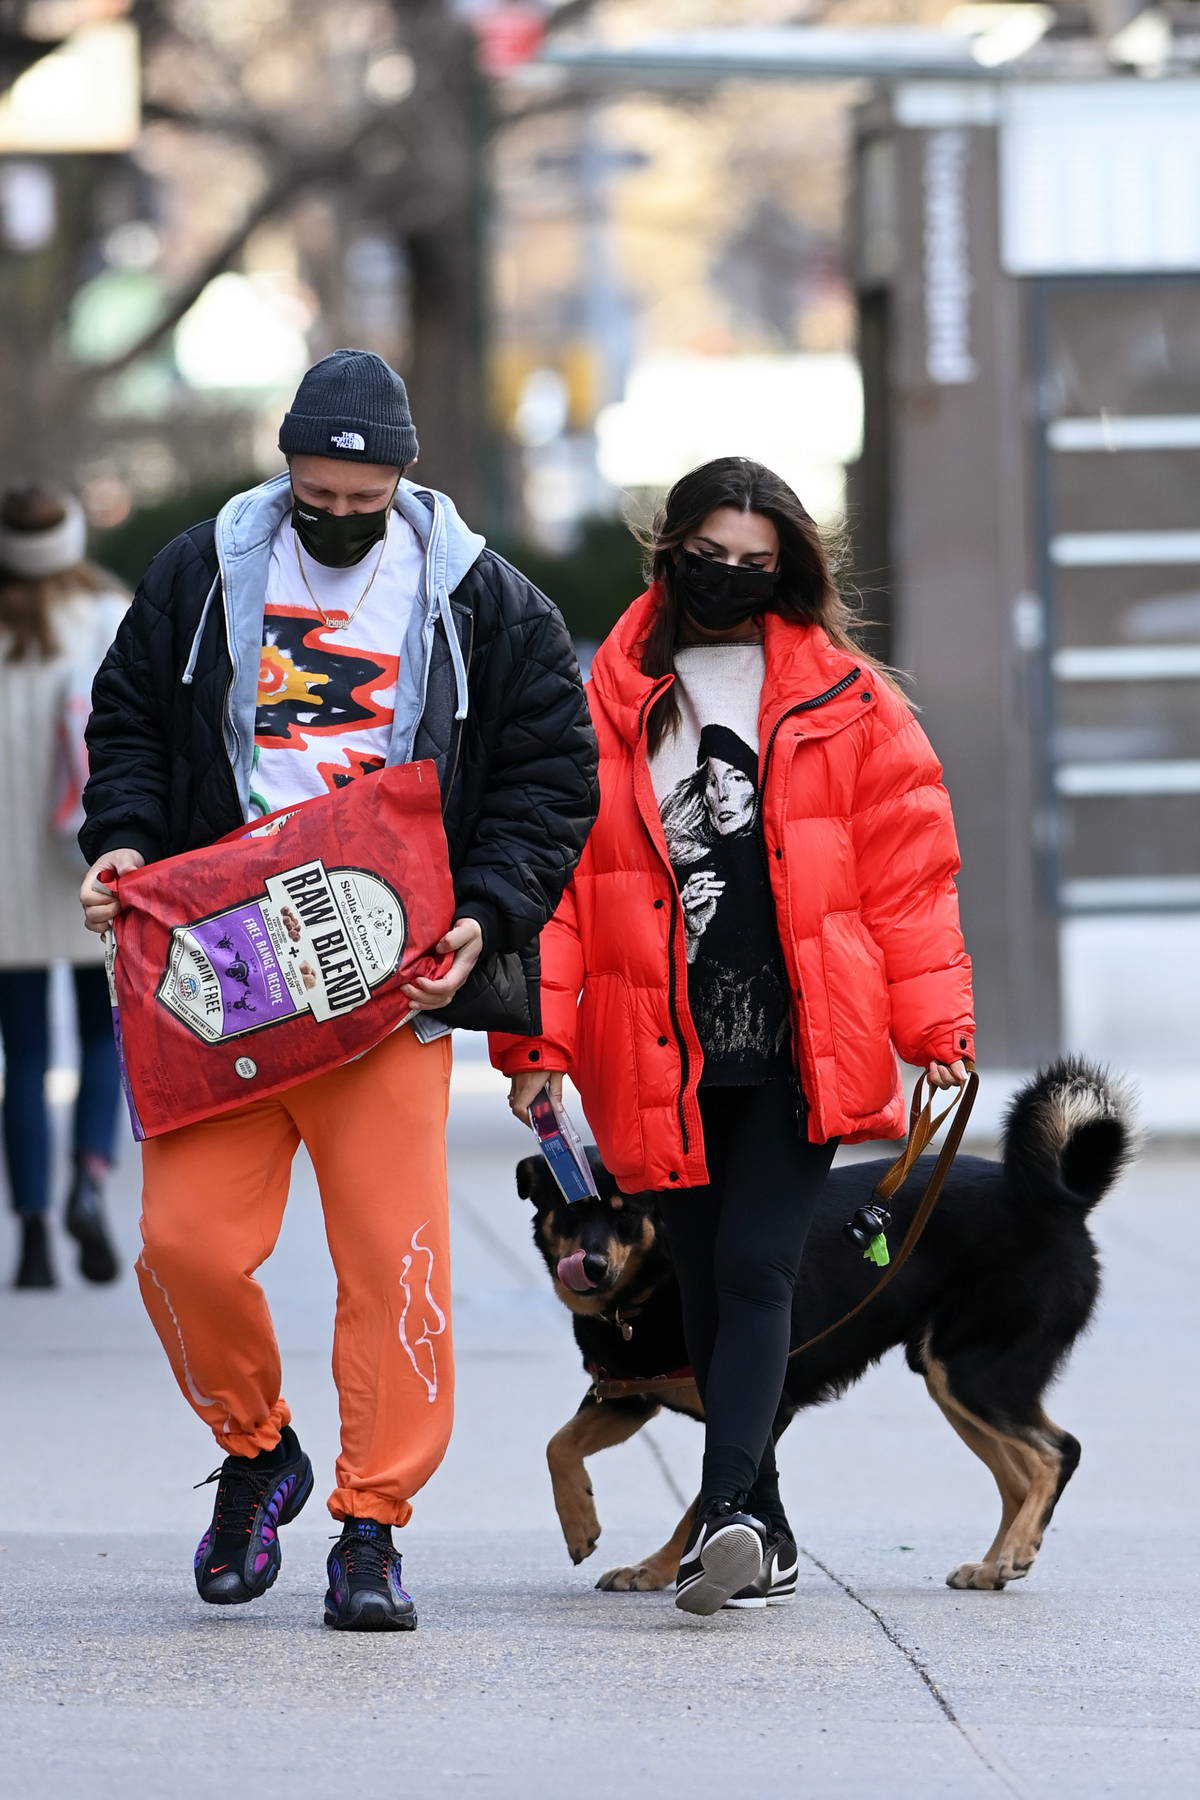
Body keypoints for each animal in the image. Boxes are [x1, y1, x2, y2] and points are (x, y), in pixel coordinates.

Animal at [518, 1058, 1137, 1598]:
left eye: (626, 1214)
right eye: (569, 1210)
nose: (592, 1266)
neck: (648, 1292)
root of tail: (1059, 1203)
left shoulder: (761, 1405)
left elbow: (701, 1499)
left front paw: (659, 1568)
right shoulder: (626, 1394)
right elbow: (557, 1444)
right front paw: (579, 1523)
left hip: (975, 1373)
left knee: (1058, 1452)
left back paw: (1015, 1551)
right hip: (952, 1382)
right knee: (1018, 1476)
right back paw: (994, 1565)